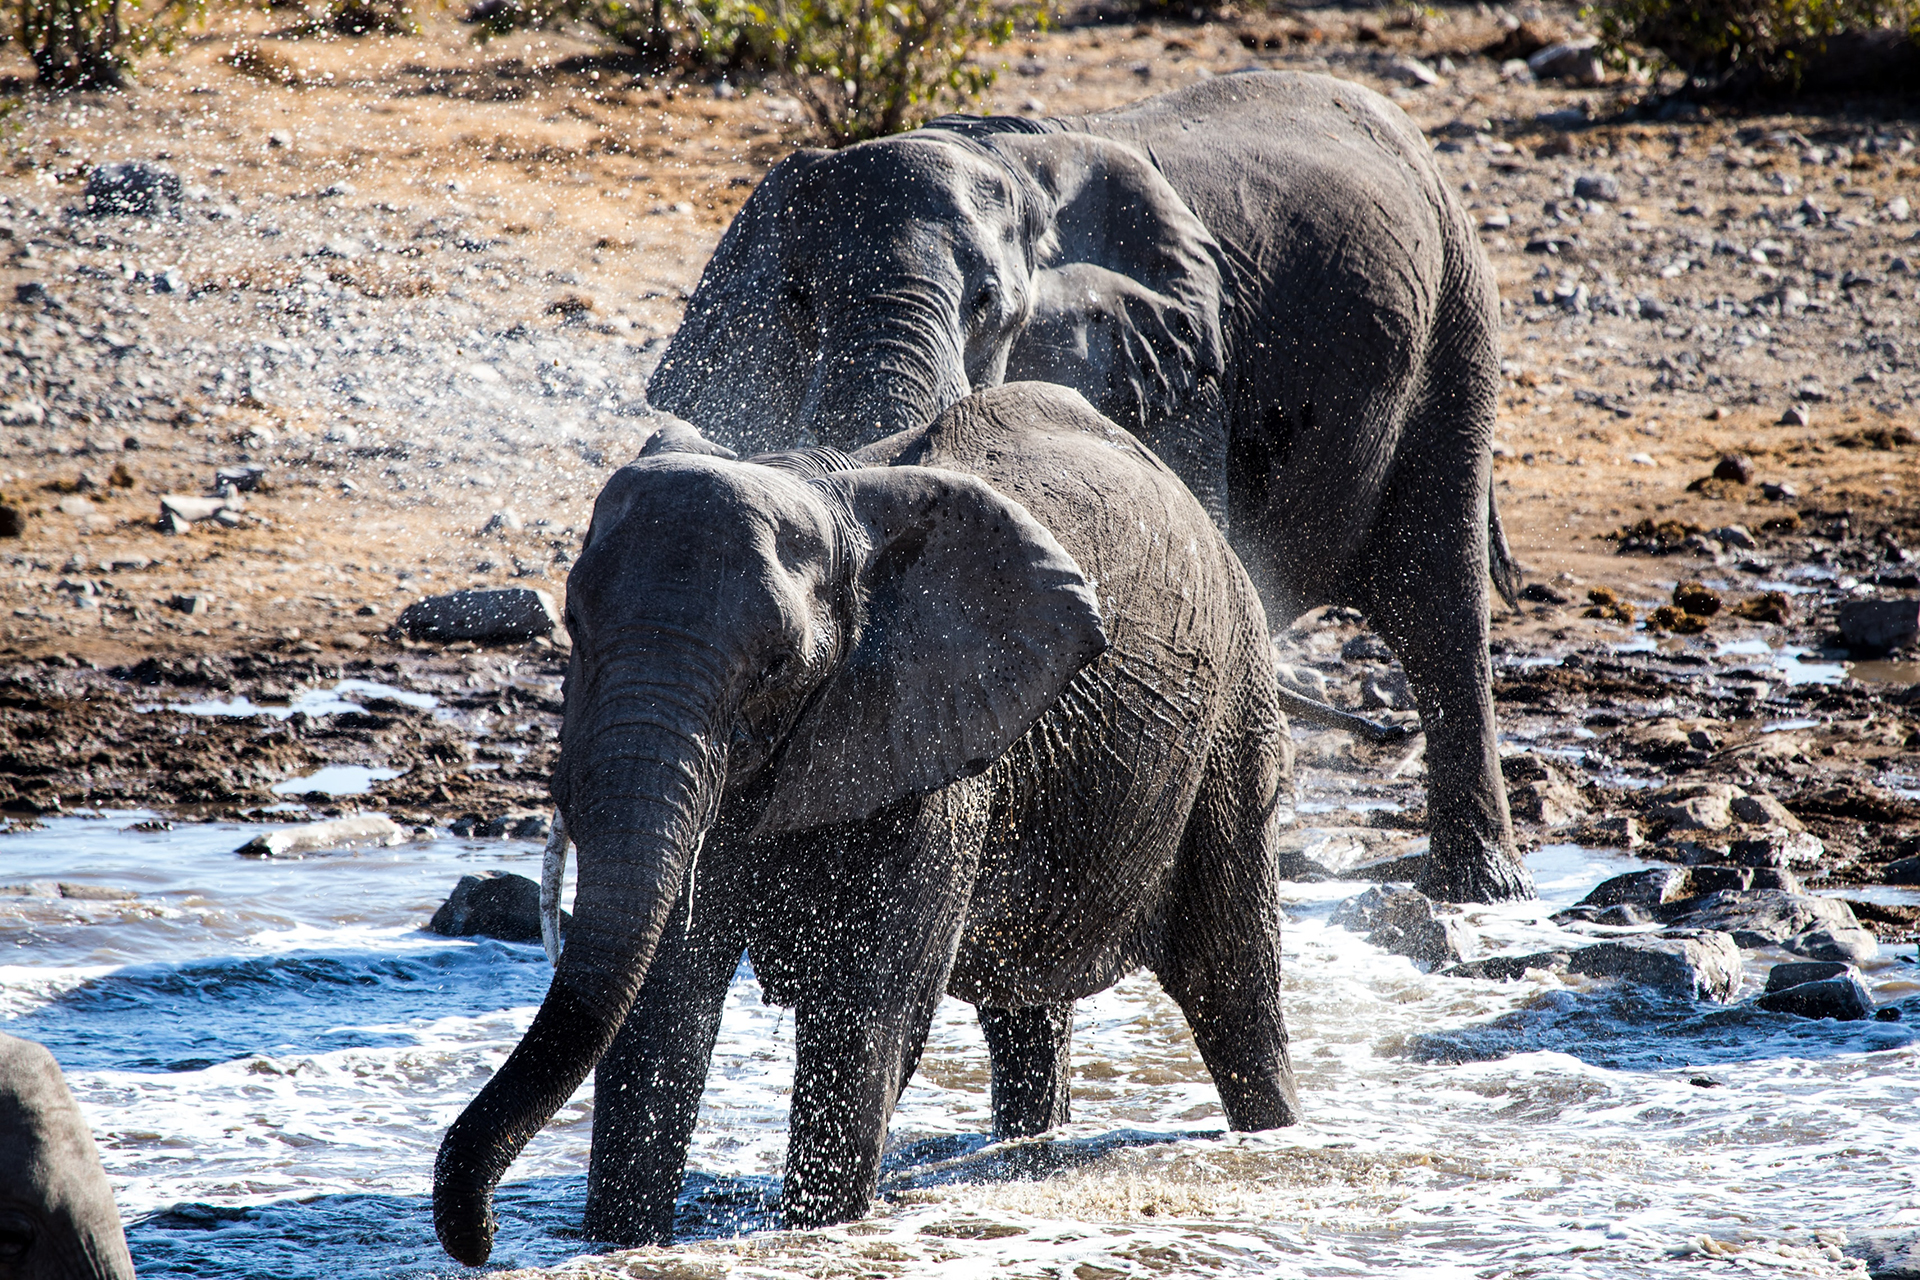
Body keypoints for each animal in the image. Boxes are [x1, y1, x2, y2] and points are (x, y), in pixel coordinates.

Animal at [432, 382, 1300, 1264]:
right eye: (573, 625)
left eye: (777, 665)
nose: (481, 1238)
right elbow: (664, 1004)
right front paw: (622, 1248)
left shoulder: (928, 734)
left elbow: (865, 1012)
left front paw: (817, 1237)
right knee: (1029, 1007)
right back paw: (1031, 1153)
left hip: (1234, 709)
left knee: (1230, 979)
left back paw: (1279, 1142)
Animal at [647, 69, 1533, 904]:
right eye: (797, 299)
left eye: (988, 303)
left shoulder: (1179, 378)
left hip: (1459, 321)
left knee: (1439, 600)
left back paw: (1483, 891)